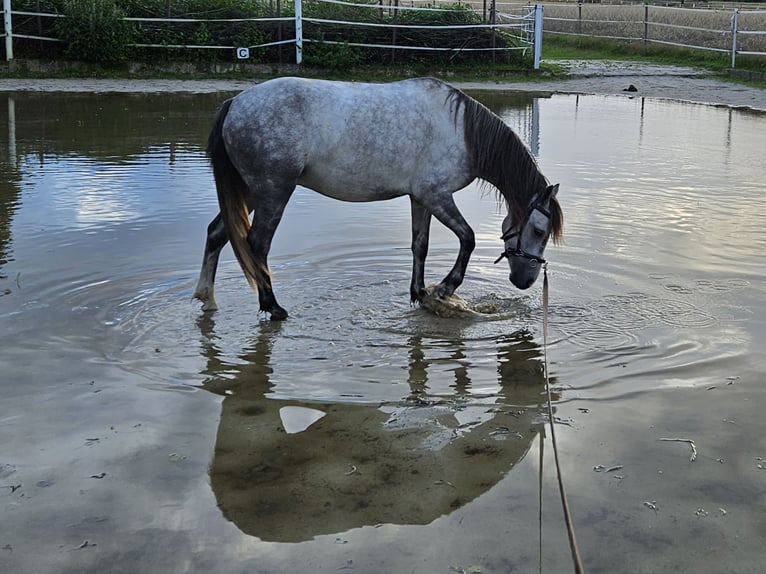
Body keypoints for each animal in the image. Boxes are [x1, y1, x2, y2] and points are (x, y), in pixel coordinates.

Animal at [194, 77, 564, 322]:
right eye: (539, 231)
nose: (525, 281)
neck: (462, 132)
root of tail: (235, 104)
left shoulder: (420, 198)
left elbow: (420, 245)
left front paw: (421, 295)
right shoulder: (436, 195)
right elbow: (468, 239)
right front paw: (444, 289)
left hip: (250, 192)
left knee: (217, 232)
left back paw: (207, 298)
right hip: (273, 191)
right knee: (257, 243)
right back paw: (273, 307)